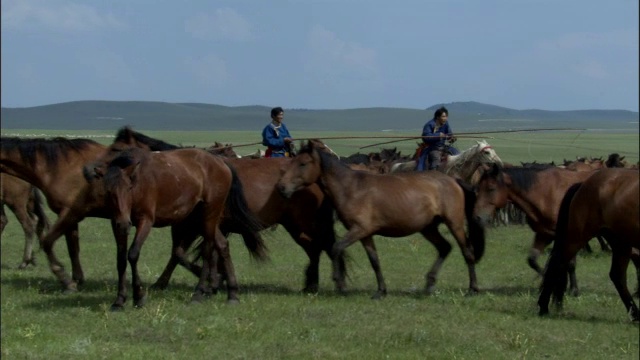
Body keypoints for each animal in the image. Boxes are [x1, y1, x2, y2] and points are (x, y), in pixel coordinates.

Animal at [91, 147, 264, 310]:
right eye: (108, 191)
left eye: (129, 188)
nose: (124, 223)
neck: (139, 180)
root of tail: (221, 162)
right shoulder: (116, 224)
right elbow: (121, 260)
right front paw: (119, 301)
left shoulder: (145, 220)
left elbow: (133, 254)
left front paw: (139, 297)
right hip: (200, 219)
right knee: (222, 245)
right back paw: (232, 293)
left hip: (209, 215)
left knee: (208, 250)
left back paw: (198, 293)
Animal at [276, 139, 484, 300]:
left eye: (302, 163)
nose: (281, 188)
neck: (351, 188)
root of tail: (453, 180)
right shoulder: (365, 234)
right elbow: (374, 261)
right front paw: (380, 291)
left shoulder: (359, 230)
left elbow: (336, 248)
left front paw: (340, 284)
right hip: (428, 228)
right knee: (444, 248)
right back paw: (429, 285)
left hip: (454, 224)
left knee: (467, 252)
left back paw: (472, 289)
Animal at [470, 164, 600, 296]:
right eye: (478, 188)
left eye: (491, 189)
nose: (476, 217)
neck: (547, 193)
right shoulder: (544, 234)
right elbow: (532, 260)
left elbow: (570, 264)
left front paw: (574, 290)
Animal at [540, 169, 640, 320]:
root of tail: (583, 184)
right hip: (576, 238)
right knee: (556, 264)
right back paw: (543, 308)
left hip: (621, 244)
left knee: (618, 276)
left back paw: (635, 314)